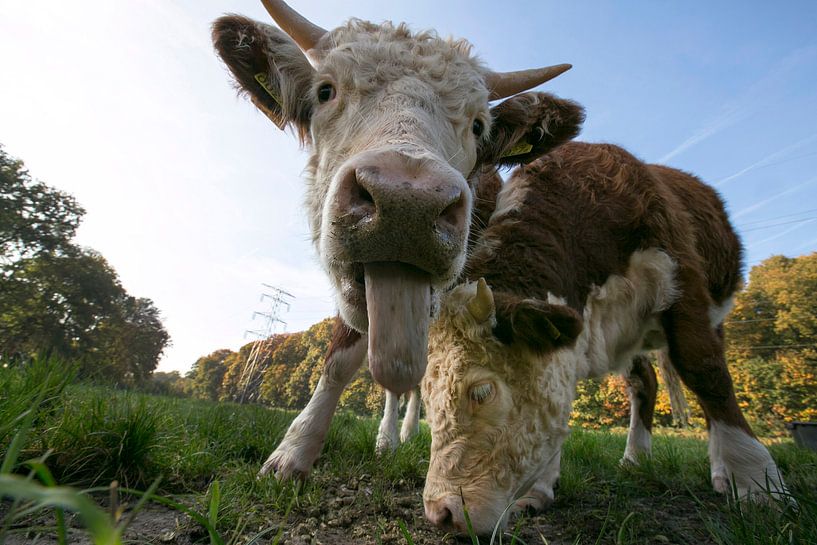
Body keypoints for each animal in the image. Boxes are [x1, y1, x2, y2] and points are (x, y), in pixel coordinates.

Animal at [211, 0, 578, 477]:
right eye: (325, 91)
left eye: (479, 126)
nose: (408, 202)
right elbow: (341, 360)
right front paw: (293, 451)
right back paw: (389, 439)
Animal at [420, 96, 790, 535]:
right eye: (426, 398)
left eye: (481, 392)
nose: (441, 513)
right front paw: (538, 491)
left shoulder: (681, 277)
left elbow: (705, 370)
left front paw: (758, 482)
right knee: (644, 381)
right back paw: (636, 458)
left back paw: (721, 469)